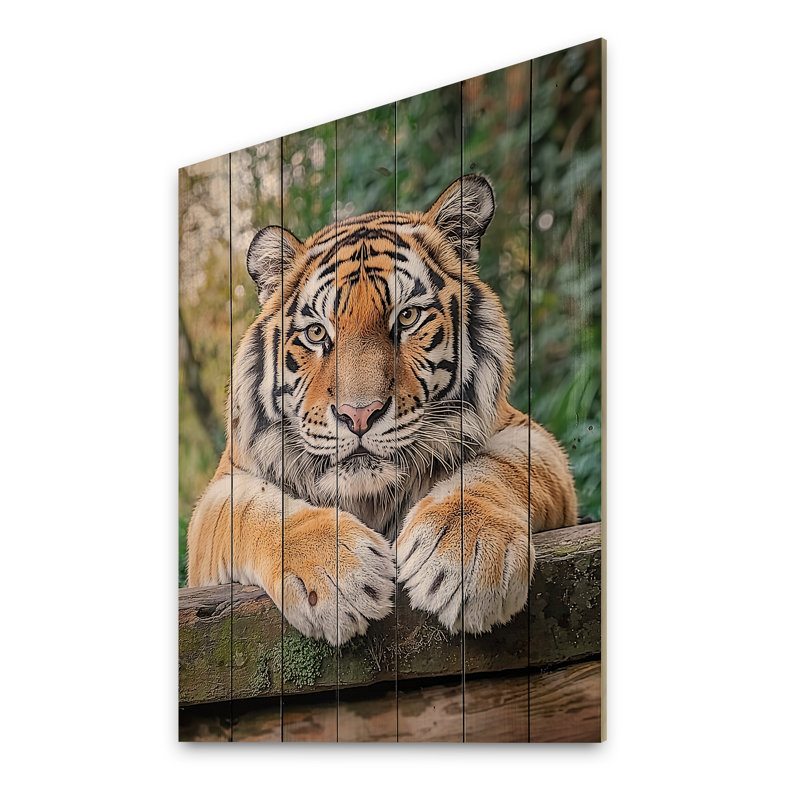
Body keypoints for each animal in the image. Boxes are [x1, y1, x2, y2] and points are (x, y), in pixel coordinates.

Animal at [187, 174, 577, 645]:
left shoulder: (527, 433)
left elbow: (500, 466)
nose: (358, 415)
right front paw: (334, 575)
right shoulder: (221, 490)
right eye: (316, 332)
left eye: (407, 318)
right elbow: (250, 508)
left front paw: (467, 556)